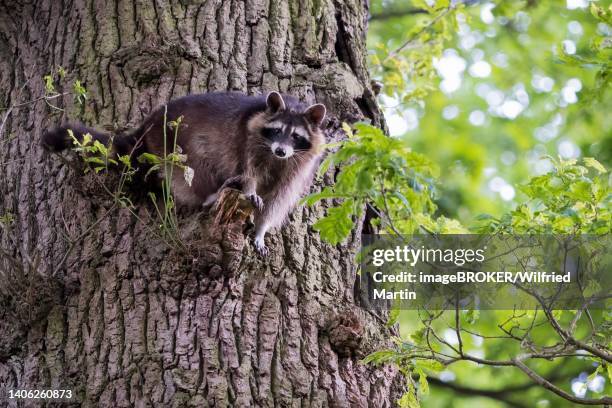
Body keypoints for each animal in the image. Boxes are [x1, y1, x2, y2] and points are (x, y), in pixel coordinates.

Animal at [41, 91, 326, 255]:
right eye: (276, 131)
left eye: (296, 136)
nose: (280, 150)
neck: (274, 156)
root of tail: (147, 125)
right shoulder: (248, 142)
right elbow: (248, 173)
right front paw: (250, 191)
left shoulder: (297, 166)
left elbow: (278, 199)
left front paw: (261, 229)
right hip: (172, 145)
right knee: (194, 170)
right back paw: (210, 195)